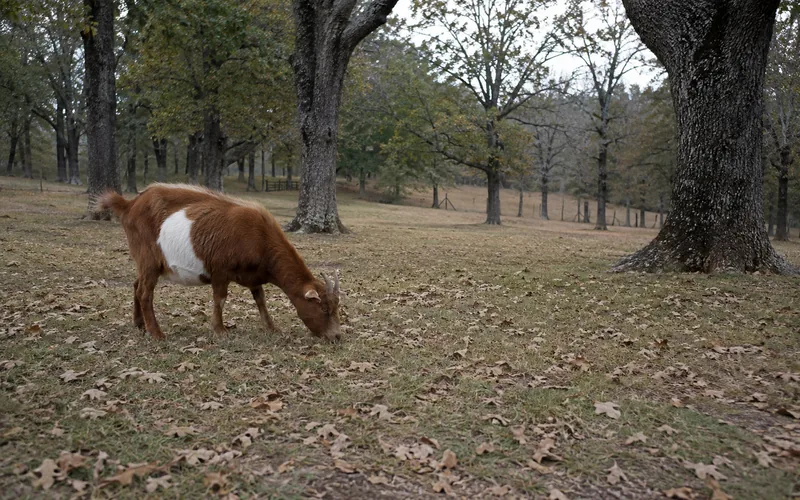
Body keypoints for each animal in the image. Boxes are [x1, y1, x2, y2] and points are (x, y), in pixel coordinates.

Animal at [98, 183, 341, 342]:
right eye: (324, 308)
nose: (336, 336)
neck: (259, 236)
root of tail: (130, 204)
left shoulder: (253, 276)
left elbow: (261, 300)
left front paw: (272, 328)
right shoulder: (220, 270)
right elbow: (220, 299)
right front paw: (219, 330)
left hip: (145, 262)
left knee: (136, 285)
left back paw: (140, 324)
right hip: (148, 259)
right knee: (145, 293)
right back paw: (157, 334)